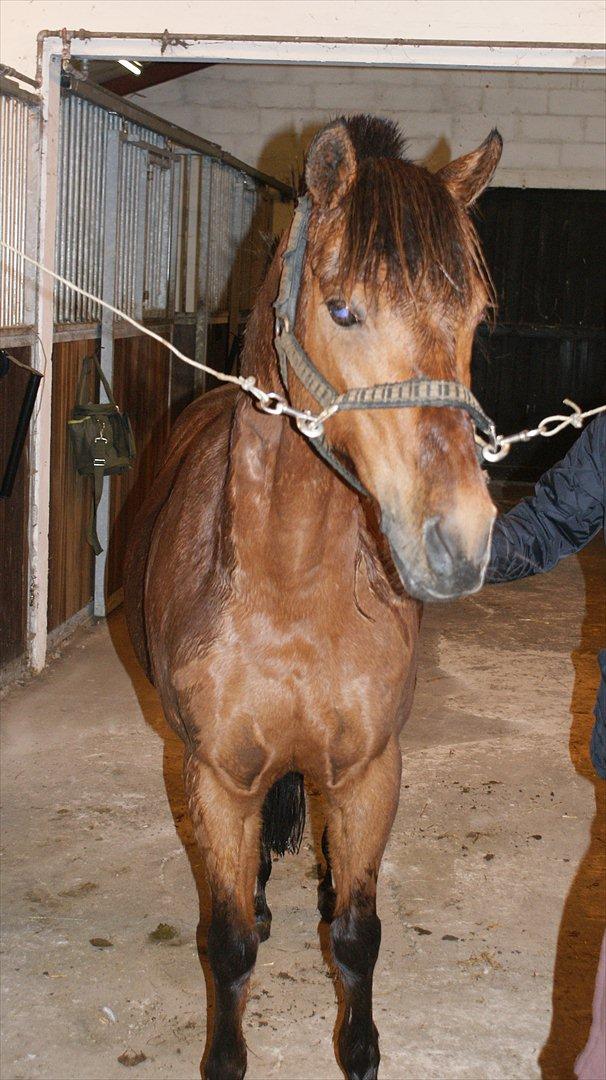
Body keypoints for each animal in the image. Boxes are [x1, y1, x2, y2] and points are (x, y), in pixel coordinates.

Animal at [123, 113, 501, 1075]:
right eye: (342, 310)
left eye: (476, 316)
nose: (463, 539)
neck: (290, 591)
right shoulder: (217, 779)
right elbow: (226, 947)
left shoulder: (371, 772)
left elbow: (359, 935)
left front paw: (359, 1050)